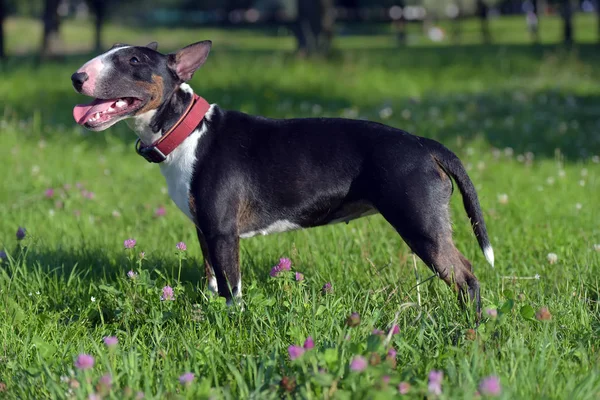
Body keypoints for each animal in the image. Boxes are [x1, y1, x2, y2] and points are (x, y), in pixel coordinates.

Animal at [70, 39, 494, 312]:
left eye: (134, 60)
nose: (77, 77)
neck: (187, 131)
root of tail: (425, 144)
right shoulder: (204, 229)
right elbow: (212, 278)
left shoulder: (223, 232)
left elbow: (232, 288)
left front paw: (231, 323)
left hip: (420, 223)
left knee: (466, 277)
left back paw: (468, 326)